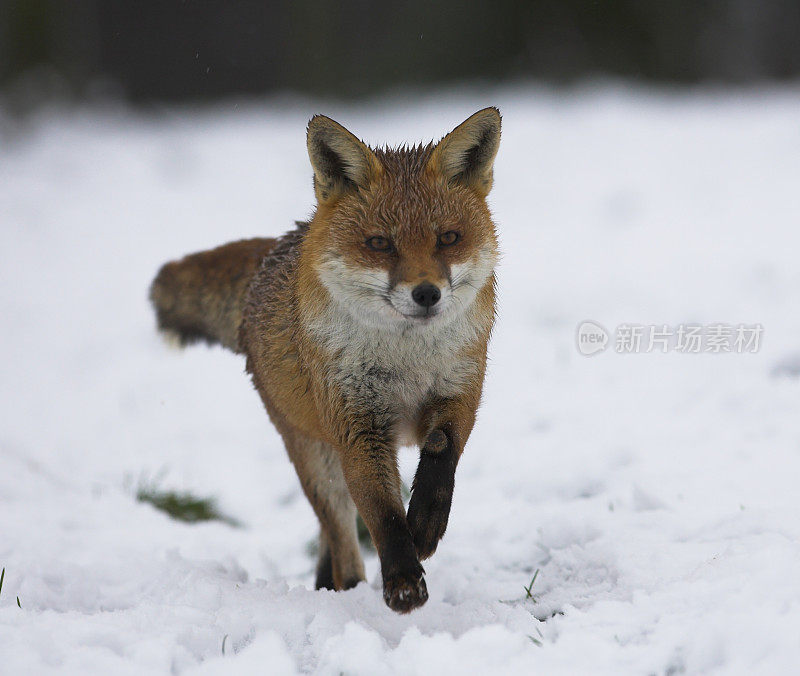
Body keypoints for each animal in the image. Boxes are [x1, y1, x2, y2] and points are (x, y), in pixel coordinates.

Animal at [150, 107, 500, 612]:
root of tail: (275, 251)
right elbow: (383, 515)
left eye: (448, 238)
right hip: (315, 458)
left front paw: (426, 523)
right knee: (341, 539)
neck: (406, 362)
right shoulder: (358, 427)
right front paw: (403, 580)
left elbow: (440, 453)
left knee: (328, 538)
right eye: (380, 244)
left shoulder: (460, 391)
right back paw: (347, 592)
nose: (427, 294)